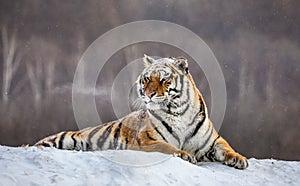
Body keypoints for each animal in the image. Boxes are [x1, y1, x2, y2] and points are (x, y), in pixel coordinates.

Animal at [34, 54, 248, 169]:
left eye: (163, 79)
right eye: (146, 78)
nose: (149, 94)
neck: (178, 112)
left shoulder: (212, 141)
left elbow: (227, 148)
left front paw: (240, 160)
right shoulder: (146, 140)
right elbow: (168, 148)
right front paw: (185, 155)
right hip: (63, 138)